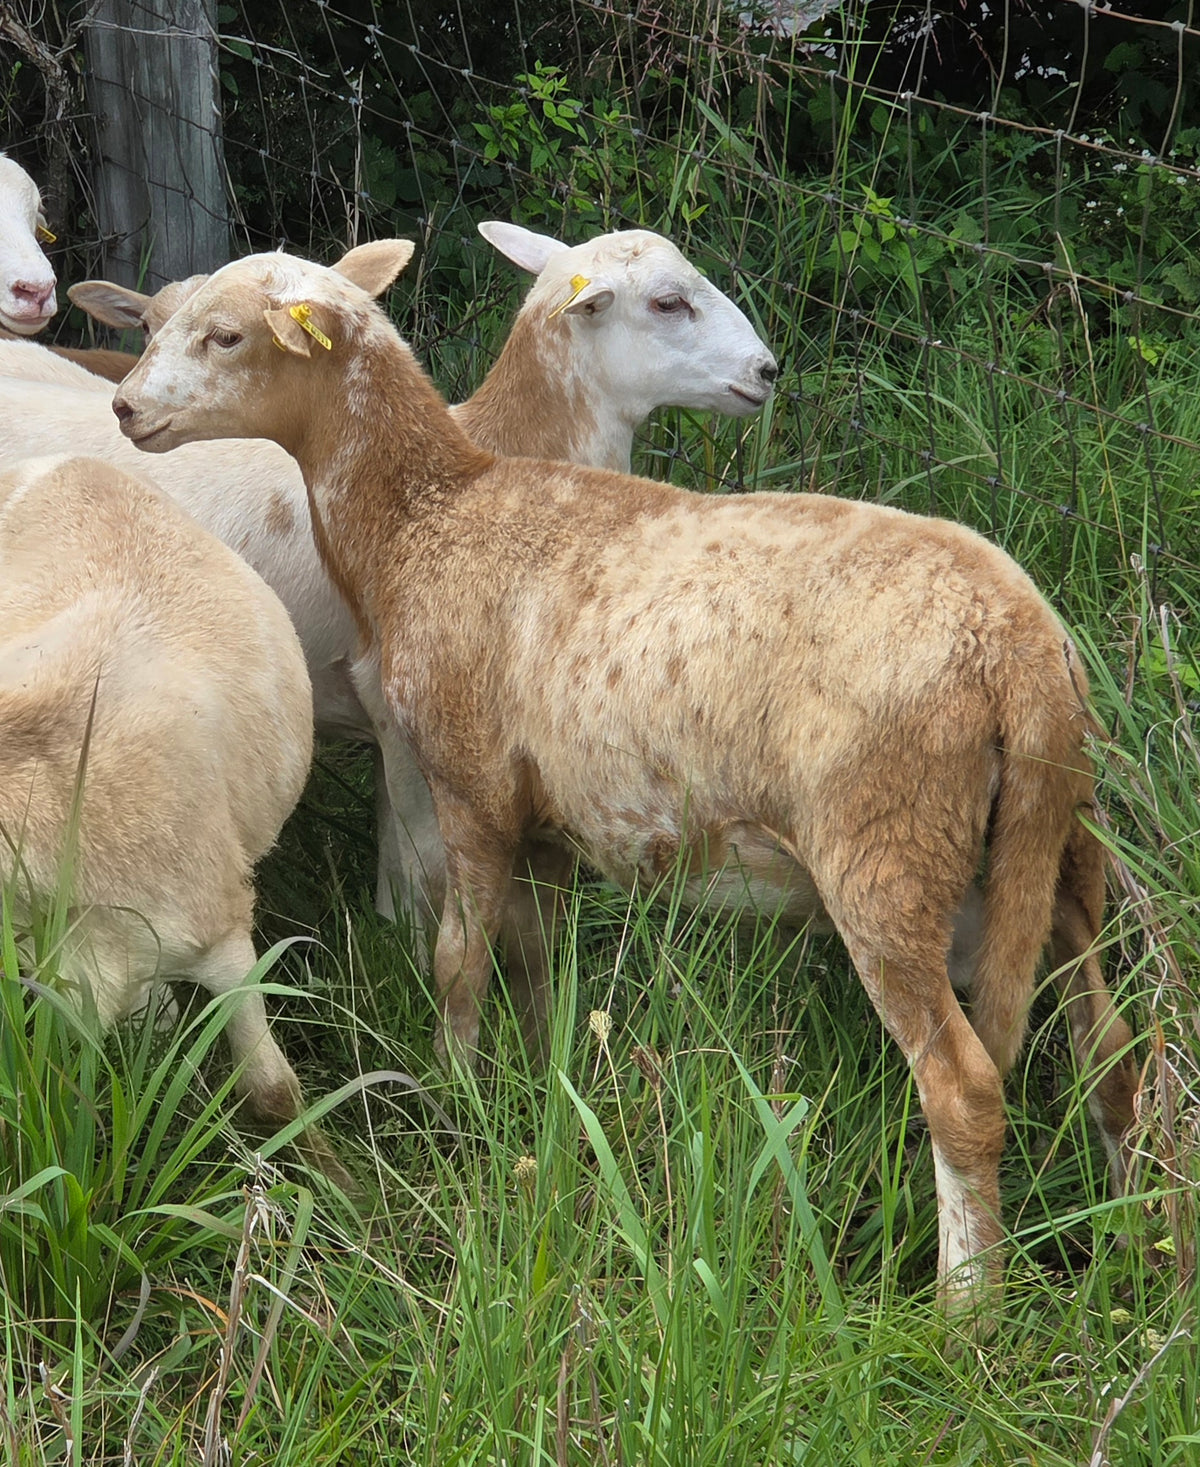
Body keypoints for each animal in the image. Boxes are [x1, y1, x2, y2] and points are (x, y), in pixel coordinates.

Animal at [111, 242, 1139, 1311]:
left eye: (225, 336)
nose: (125, 409)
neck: (427, 515)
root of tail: (1020, 648)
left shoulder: (471, 787)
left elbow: (457, 958)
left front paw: (454, 1098)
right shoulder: (548, 820)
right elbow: (538, 958)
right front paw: (537, 1085)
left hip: (888, 849)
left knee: (966, 1090)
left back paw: (963, 1313)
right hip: (1058, 847)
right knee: (1111, 1054)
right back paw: (1141, 1245)